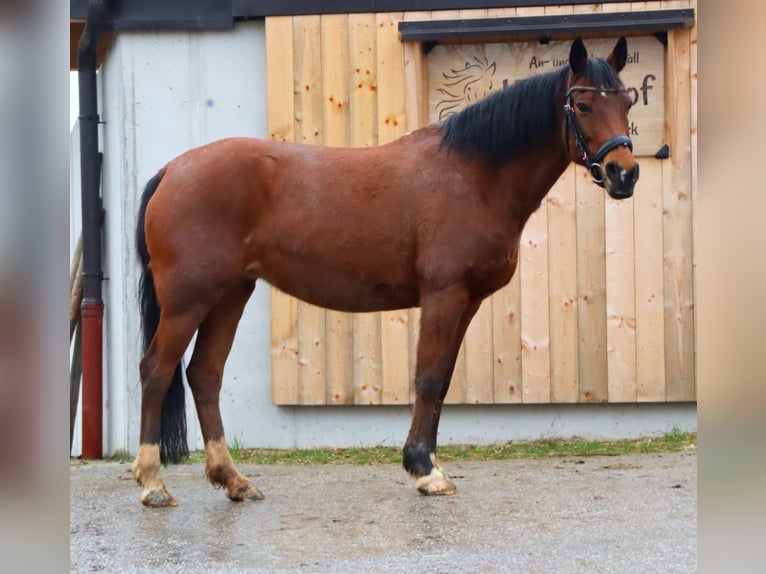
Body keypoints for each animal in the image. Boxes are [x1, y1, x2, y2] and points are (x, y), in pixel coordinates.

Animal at [134, 37, 640, 508]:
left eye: (628, 102)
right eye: (582, 105)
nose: (625, 174)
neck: (473, 174)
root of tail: (172, 169)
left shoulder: (468, 301)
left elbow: (443, 380)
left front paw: (429, 462)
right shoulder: (444, 295)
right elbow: (428, 378)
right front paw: (423, 470)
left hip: (230, 294)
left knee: (205, 374)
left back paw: (233, 480)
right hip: (188, 299)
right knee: (157, 370)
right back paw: (152, 482)